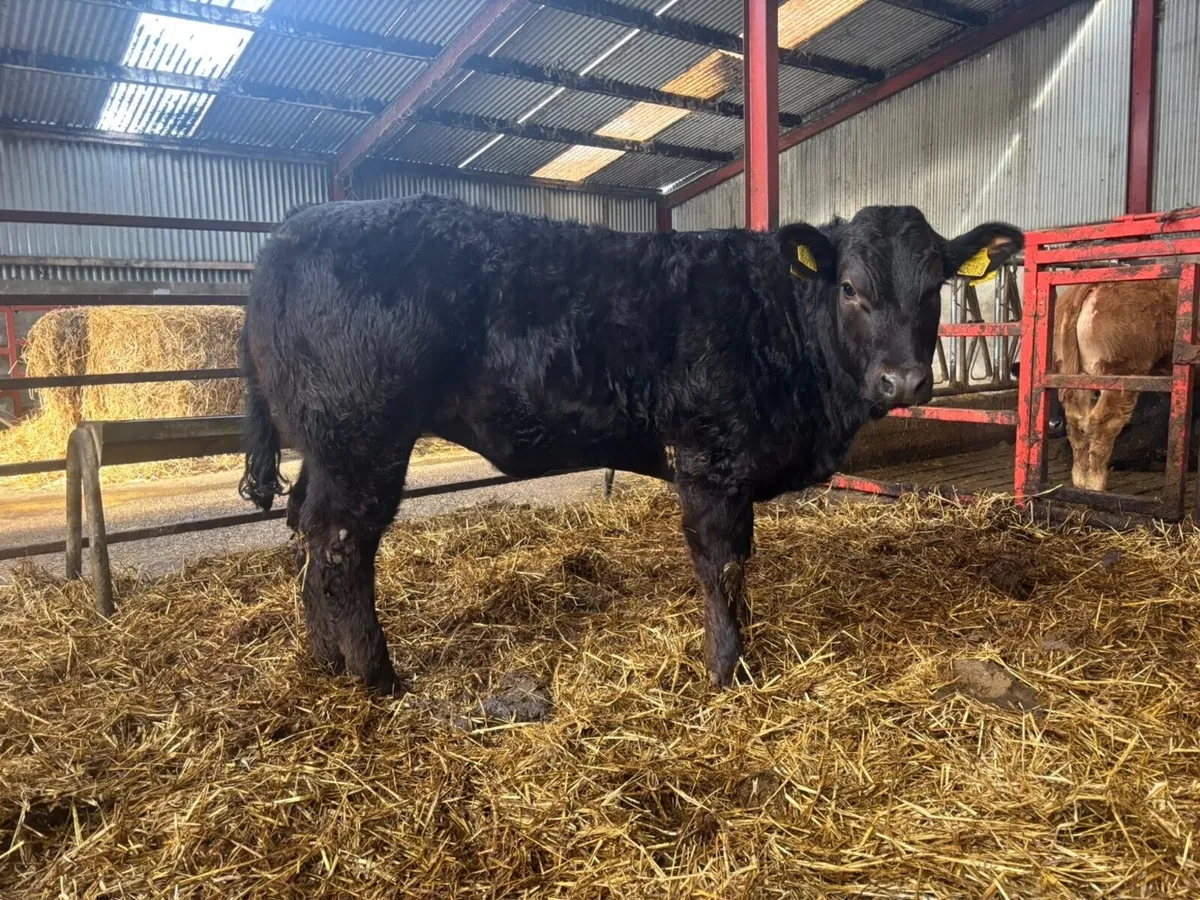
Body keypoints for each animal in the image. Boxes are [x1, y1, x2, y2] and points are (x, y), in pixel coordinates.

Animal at [239, 194, 1022, 694]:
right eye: (852, 288)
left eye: (935, 288)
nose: (904, 379)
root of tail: (286, 235)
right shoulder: (710, 459)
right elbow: (722, 564)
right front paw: (727, 668)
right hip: (363, 436)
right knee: (341, 544)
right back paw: (377, 677)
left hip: (324, 445)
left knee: (306, 529)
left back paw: (325, 660)